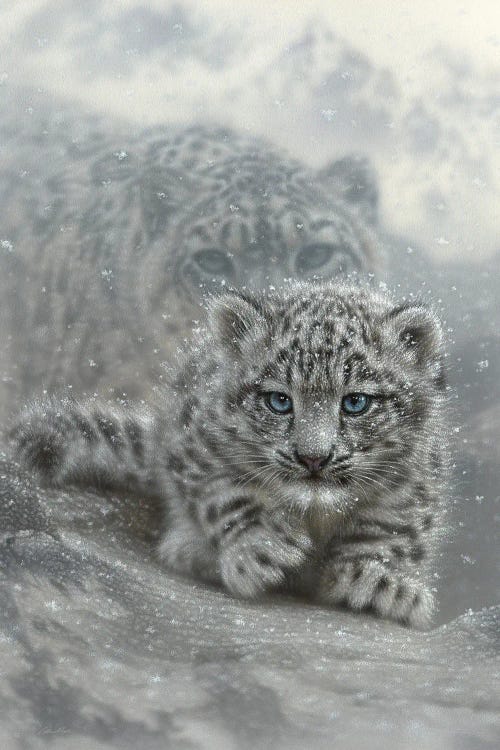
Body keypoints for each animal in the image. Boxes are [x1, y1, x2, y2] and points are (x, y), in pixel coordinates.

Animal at [10, 282, 450, 628]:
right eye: (279, 401)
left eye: (356, 402)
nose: (313, 458)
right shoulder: (197, 449)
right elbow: (227, 496)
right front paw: (261, 547)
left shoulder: (410, 480)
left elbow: (389, 528)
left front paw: (380, 581)